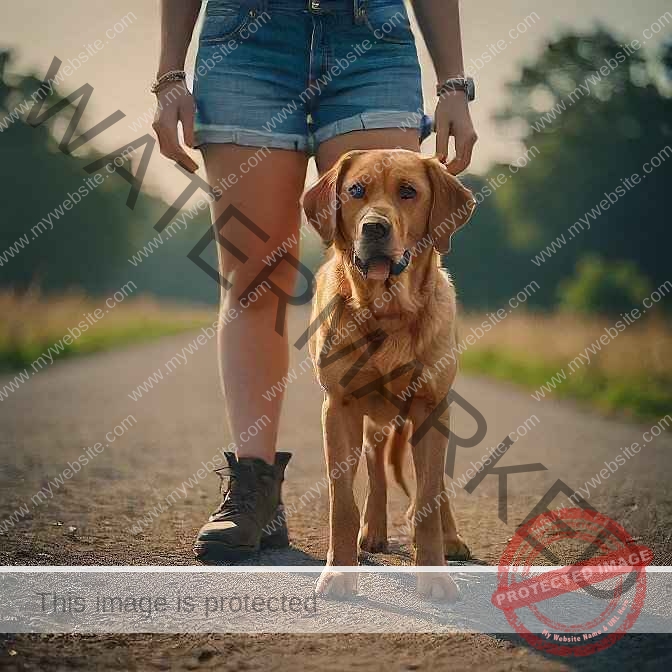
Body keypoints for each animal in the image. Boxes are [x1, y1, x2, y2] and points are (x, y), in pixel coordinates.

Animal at [302, 148, 476, 600]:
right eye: (355, 191)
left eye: (408, 191)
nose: (374, 228)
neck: (387, 311)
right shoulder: (339, 407)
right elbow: (342, 502)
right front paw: (339, 572)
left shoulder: (431, 408)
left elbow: (429, 500)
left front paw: (435, 573)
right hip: (373, 420)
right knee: (377, 470)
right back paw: (375, 531)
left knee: (436, 488)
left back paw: (452, 538)